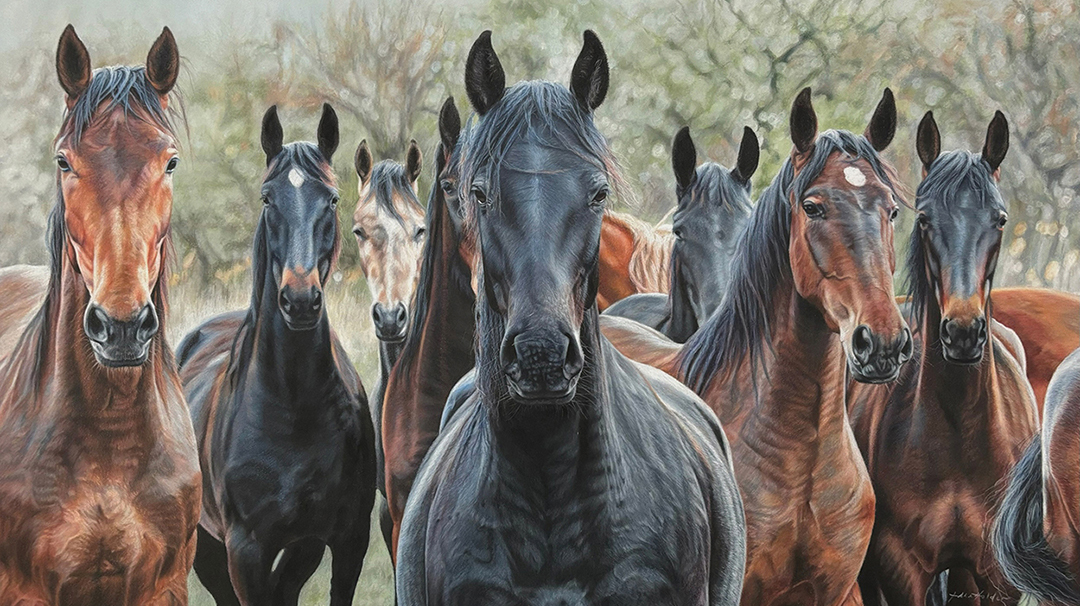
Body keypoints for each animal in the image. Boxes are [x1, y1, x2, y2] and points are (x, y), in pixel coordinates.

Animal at [177, 105, 375, 606]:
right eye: (268, 199)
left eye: (333, 200)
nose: (300, 301)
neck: (292, 406)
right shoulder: (246, 549)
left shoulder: (346, 541)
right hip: (207, 546)